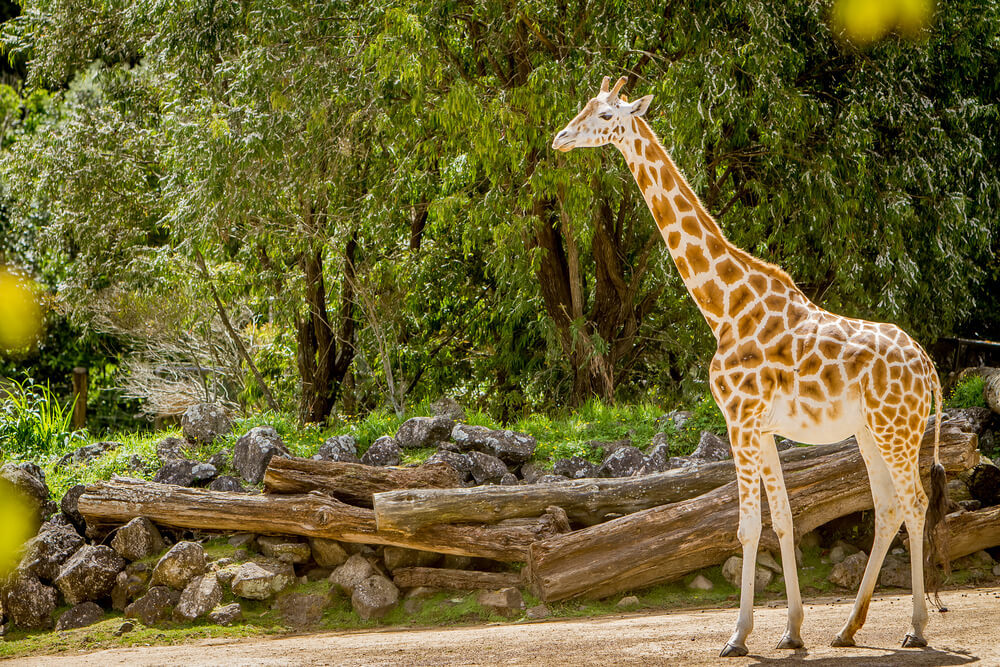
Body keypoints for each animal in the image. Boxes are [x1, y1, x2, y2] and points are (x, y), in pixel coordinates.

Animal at [552, 77, 948, 656]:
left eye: (605, 114)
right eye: (582, 106)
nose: (559, 138)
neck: (723, 306)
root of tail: (929, 365)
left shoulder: (739, 417)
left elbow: (746, 528)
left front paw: (738, 636)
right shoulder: (760, 426)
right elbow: (782, 520)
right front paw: (792, 631)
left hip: (899, 429)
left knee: (915, 503)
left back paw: (916, 628)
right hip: (871, 431)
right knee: (889, 507)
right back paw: (847, 628)